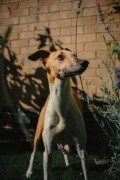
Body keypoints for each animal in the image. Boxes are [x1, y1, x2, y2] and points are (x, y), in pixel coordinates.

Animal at [25, 49, 88, 180]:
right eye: (60, 56)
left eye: (75, 55)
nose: (85, 62)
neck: (61, 107)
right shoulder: (47, 150)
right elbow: (46, 171)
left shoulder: (81, 148)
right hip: (38, 132)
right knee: (33, 152)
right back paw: (29, 171)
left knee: (65, 150)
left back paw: (68, 165)